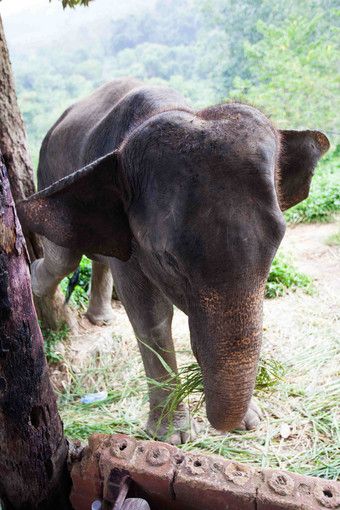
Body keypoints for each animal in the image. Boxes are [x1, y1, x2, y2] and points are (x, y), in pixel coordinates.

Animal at [17, 77, 330, 444]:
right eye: (167, 260)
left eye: (277, 244)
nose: (228, 424)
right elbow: (150, 316)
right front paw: (171, 437)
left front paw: (249, 421)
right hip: (48, 170)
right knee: (63, 255)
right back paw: (33, 280)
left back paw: (100, 317)